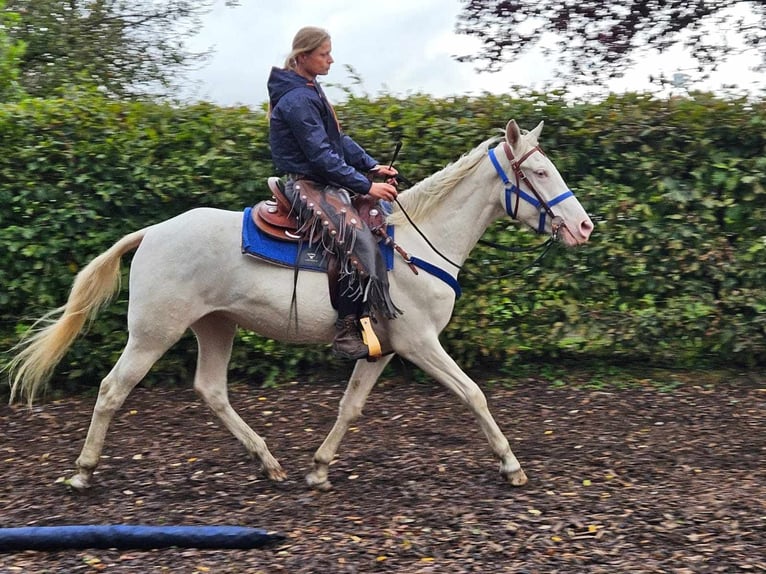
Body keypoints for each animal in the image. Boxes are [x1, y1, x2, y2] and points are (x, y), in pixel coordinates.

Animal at [4, 119, 592, 492]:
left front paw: (319, 468)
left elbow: (350, 406)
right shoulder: (421, 343)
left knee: (211, 390)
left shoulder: (381, 349)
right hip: (153, 334)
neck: (417, 244)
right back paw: (82, 472)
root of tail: (152, 233)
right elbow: (473, 394)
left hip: (215, 327)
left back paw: (269, 464)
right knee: (111, 390)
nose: (584, 226)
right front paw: (511, 466)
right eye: (540, 173)